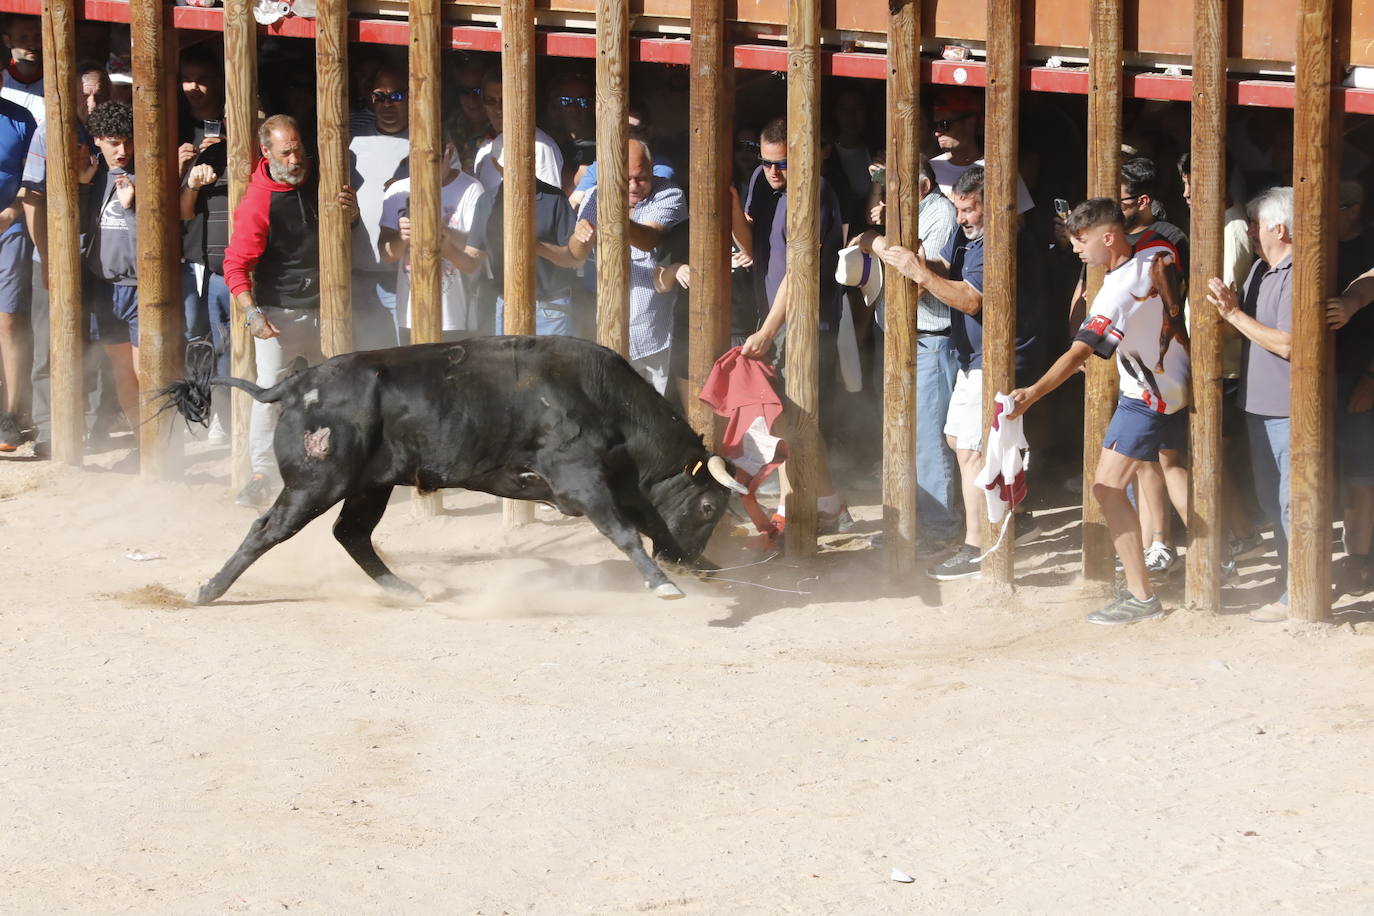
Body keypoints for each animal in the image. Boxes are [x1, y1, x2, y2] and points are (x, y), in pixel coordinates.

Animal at [160, 333, 752, 604]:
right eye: (707, 505)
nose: (691, 563)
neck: (603, 400)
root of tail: (297, 383)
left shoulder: (623, 488)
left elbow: (648, 523)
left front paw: (688, 570)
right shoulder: (581, 482)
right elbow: (626, 532)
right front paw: (662, 584)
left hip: (370, 486)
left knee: (351, 533)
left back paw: (404, 590)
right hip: (315, 483)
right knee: (269, 529)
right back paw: (209, 590)